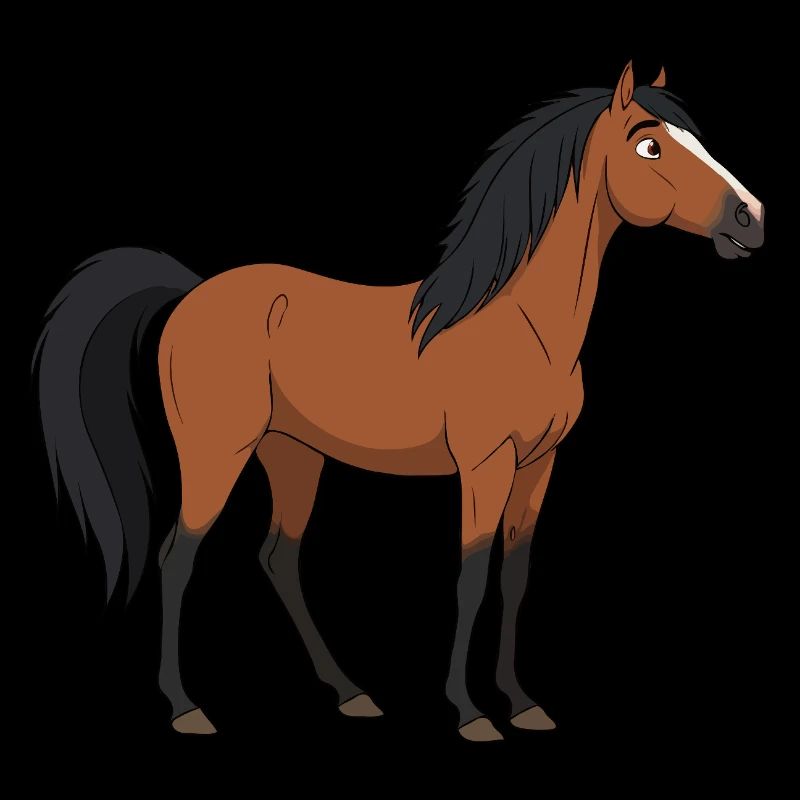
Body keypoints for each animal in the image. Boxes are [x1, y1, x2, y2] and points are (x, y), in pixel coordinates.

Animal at [34, 62, 764, 741]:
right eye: (650, 146)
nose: (752, 217)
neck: (521, 325)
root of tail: (191, 293)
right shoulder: (484, 466)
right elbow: (471, 575)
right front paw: (470, 712)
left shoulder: (539, 465)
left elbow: (515, 577)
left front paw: (523, 705)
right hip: (217, 453)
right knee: (178, 557)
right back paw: (187, 708)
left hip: (292, 454)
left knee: (278, 557)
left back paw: (351, 693)